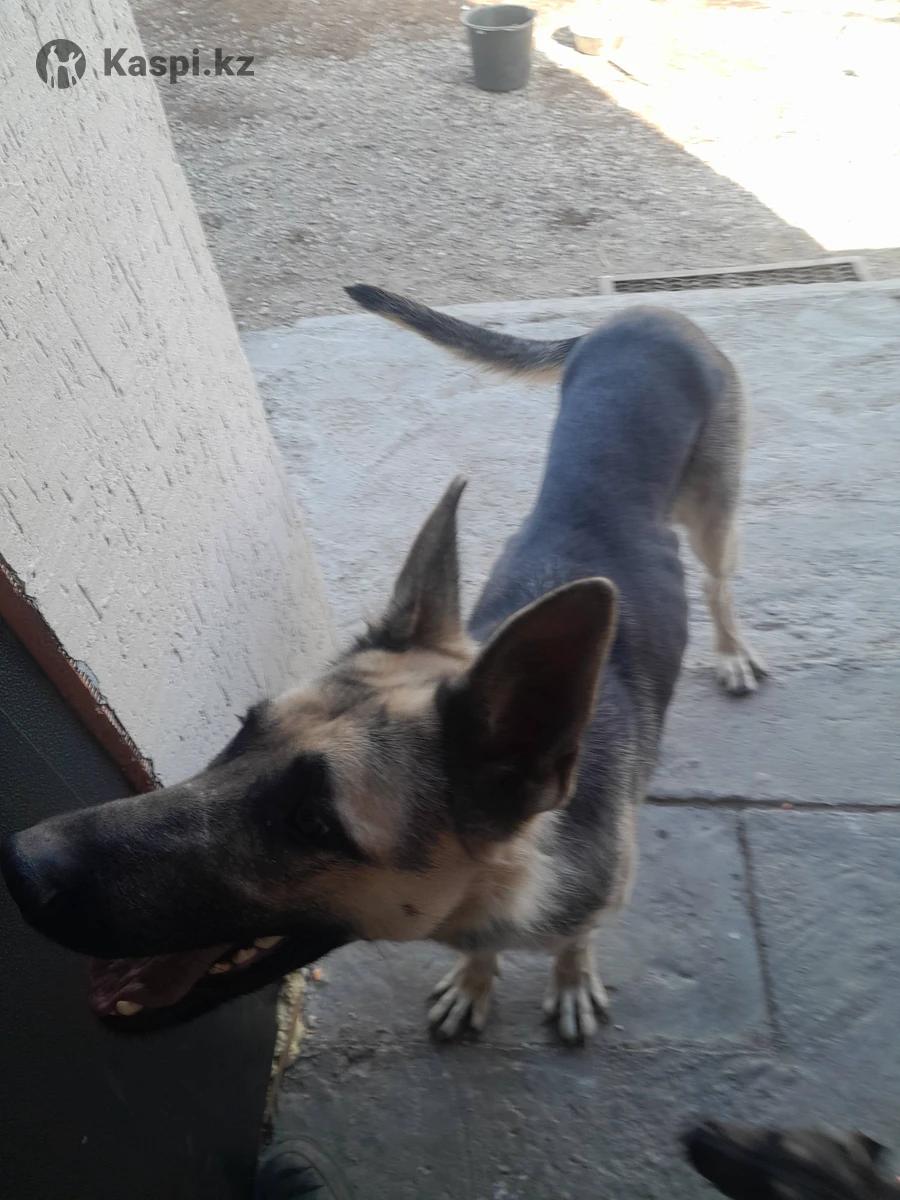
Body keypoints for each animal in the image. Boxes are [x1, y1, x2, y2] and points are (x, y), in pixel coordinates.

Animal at [1, 286, 765, 1039]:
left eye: (313, 823)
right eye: (242, 732)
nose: (20, 864)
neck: (521, 870)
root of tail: (641, 314)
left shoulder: (597, 896)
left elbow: (576, 939)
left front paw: (571, 976)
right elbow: (482, 952)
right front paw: (475, 978)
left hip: (715, 518)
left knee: (721, 587)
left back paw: (734, 653)